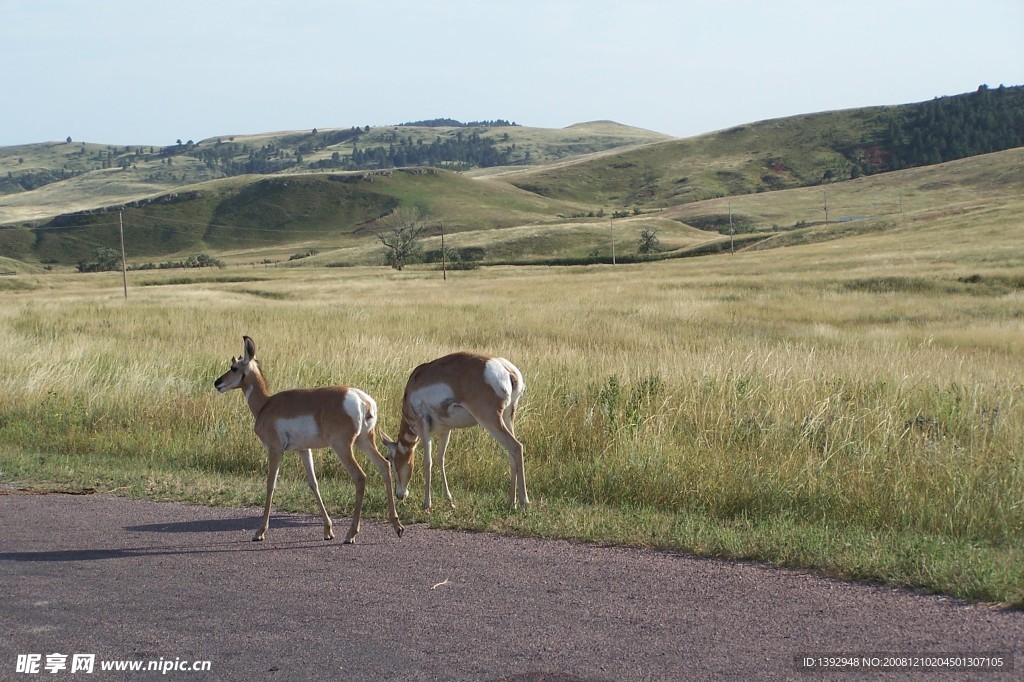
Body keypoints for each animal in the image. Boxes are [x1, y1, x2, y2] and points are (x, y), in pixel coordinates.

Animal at [212, 333, 403, 540]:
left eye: (234, 367)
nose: (217, 383)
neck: (265, 404)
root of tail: (362, 400)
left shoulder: (275, 450)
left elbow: (271, 484)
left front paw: (260, 531)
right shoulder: (304, 450)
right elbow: (313, 484)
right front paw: (328, 530)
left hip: (342, 447)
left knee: (360, 477)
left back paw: (351, 534)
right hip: (364, 441)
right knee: (384, 466)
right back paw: (397, 526)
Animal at [382, 352, 528, 507]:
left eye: (390, 459)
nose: (399, 495)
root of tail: (507, 369)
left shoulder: (424, 429)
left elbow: (428, 461)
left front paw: (427, 503)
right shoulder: (446, 430)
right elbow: (440, 458)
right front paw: (448, 497)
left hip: (490, 419)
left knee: (516, 446)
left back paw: (524, 501)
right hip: (508, 416)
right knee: (511, 453)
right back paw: (511, 501)